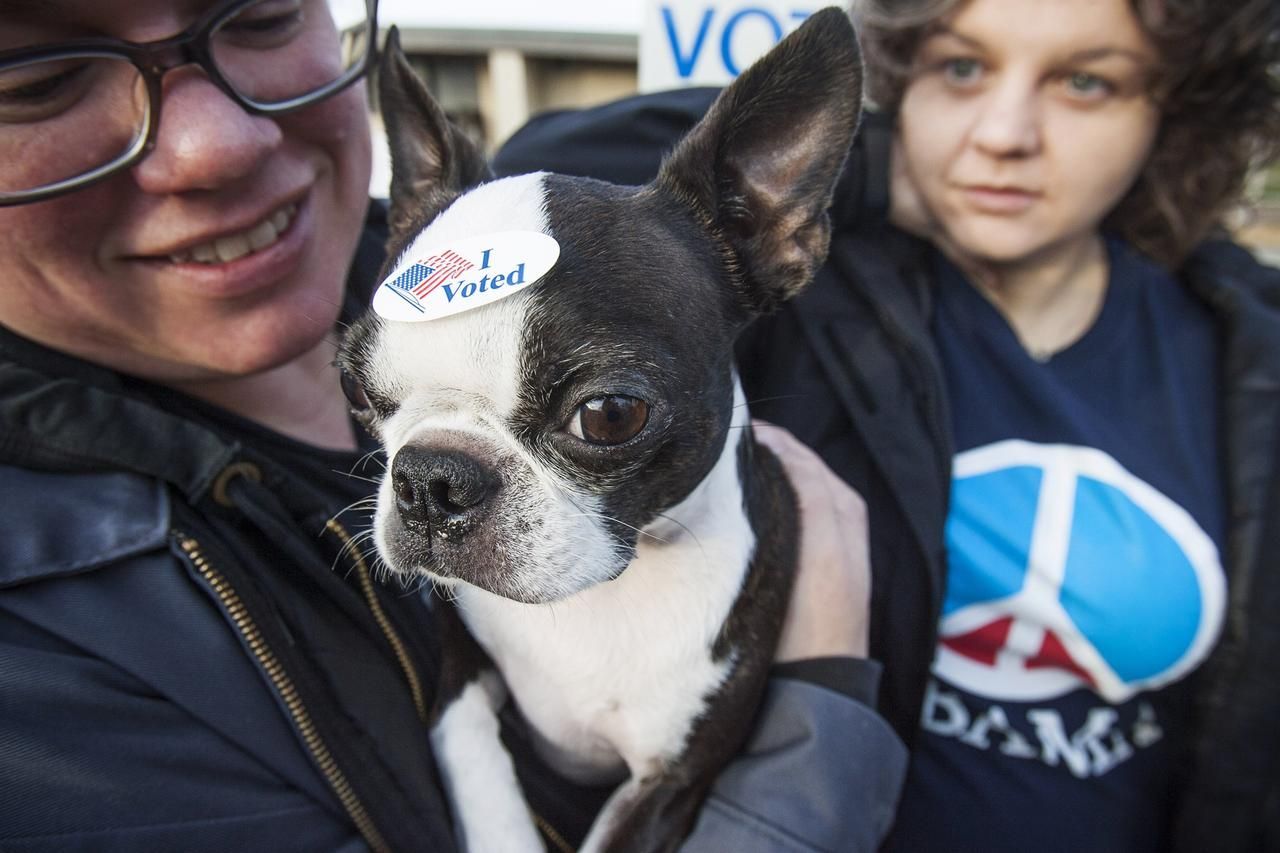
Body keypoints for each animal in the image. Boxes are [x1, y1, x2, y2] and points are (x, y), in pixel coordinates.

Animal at [340, 9, 860, 845]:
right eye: (357, 387)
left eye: (611, 414)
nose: (431, 478)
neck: (600, 596)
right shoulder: (459, 673)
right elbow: (478, 765)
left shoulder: (667, 782)